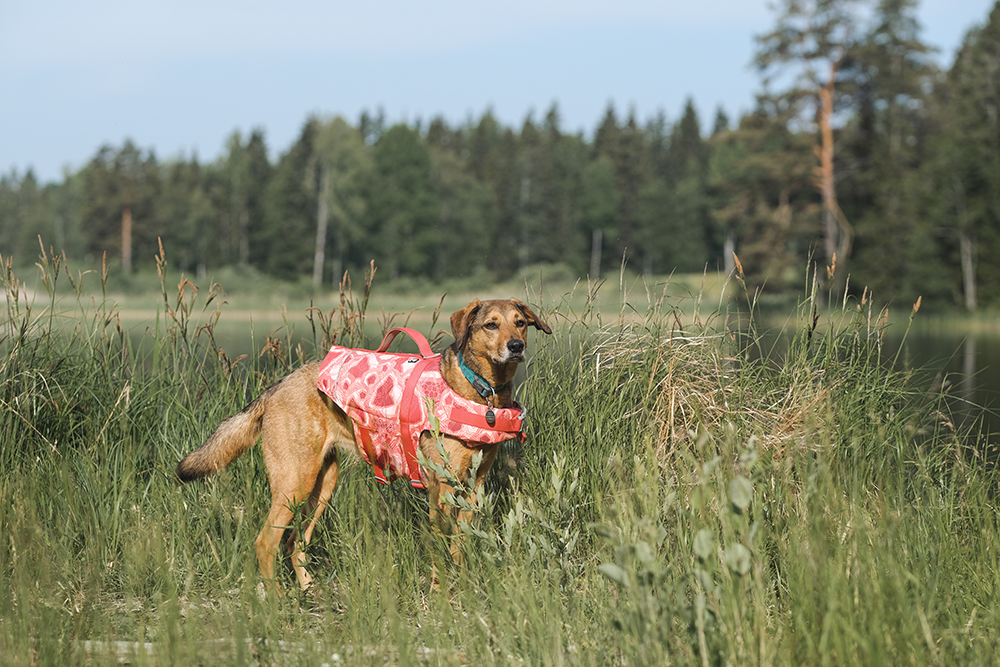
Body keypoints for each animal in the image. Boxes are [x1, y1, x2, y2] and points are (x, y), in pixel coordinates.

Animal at [172, 298, 548, 588]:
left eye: (520, 324)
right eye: (490, 325)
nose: (516, 347)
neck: (482, 390)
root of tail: (275, 387)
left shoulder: (473, 487)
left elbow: (460, 545)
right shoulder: (440, 490)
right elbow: (440, 548)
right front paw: (441, 591)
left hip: (322, 486)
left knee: (295, 541)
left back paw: (308, 592)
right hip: (295, 482)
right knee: (266, 542)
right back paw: (277, 600)